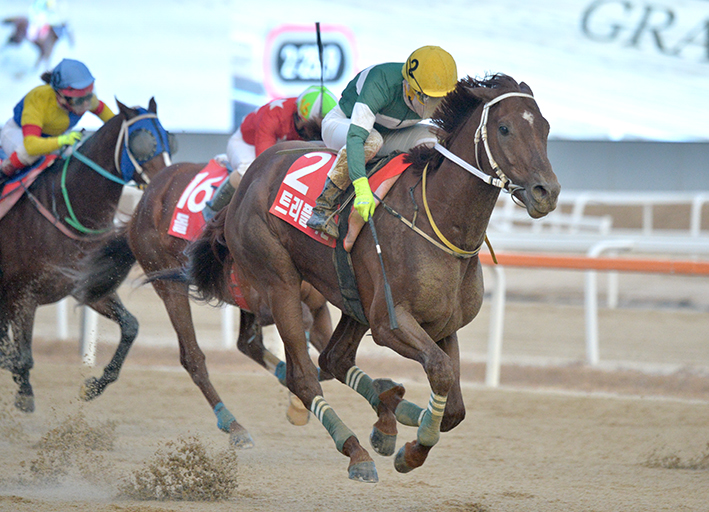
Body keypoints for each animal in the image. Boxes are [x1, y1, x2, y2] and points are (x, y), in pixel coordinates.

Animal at [0, 98, 173, 415]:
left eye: (168, 137)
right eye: (143, 140)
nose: (163, 182)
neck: (65, 209)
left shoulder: (86, 287)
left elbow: (131, 326)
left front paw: (93, 386)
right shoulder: (22, 294)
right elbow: (23, 355)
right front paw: (24, 391)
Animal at [70, 161, 334, 447]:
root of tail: (140, 208)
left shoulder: (318, 306)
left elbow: (328, 354)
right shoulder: (267, 300)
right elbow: (303, 329)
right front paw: (298, 400)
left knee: (247, 344)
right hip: (168, 284)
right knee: (193, 357)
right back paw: (233, 424)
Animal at [187, 74, 561, 482]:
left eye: (545, 127)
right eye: (505, 128)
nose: (547, 191)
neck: (438, 220)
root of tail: (252, 172)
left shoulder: (443, 325)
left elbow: (454, 408)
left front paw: (407, 431)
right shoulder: (389, 323)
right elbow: (441, 372)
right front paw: (413, 451)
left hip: (355, 299)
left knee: (334, 359)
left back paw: (387, 416)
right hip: (280, 283)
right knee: (304, 375)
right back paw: (357, 451)